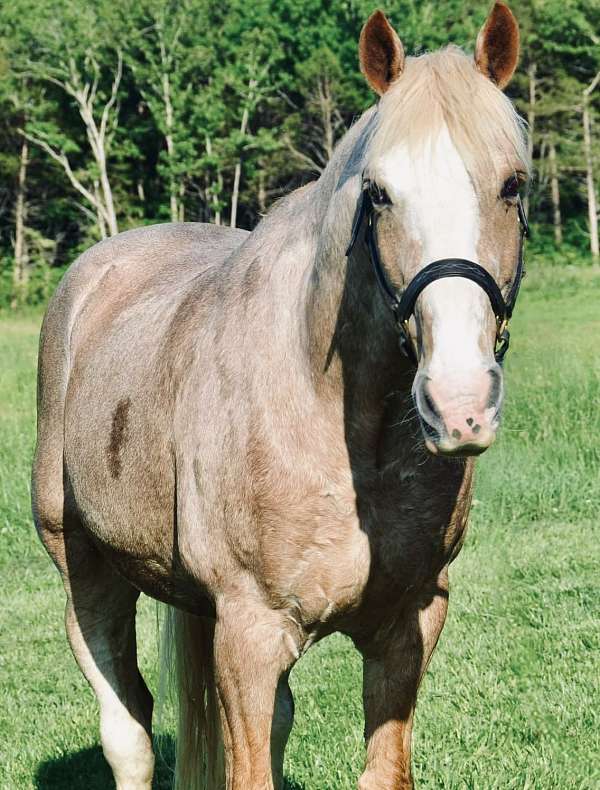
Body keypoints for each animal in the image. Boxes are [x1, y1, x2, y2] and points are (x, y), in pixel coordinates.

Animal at [32, 3, 528, 788]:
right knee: (127, 728)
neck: (339, 427)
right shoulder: (249, 632)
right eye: (378, 193)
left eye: (513, 185)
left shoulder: (409, 624)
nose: (459, 402)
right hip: (84, 570)